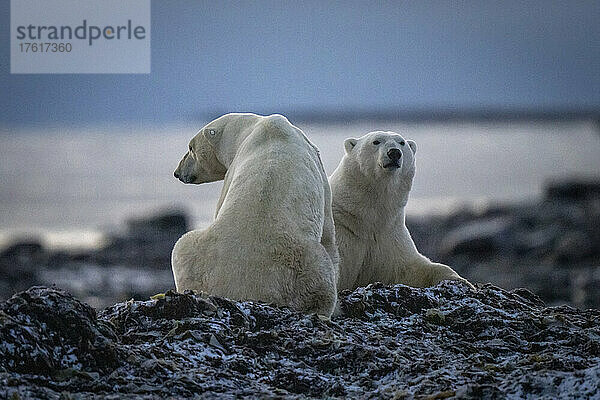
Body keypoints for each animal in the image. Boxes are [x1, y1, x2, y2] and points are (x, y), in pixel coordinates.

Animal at [328, 131, 474, 290]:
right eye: (376, 141)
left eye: (401, 142)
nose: (394, 153)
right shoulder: (342, 233)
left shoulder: (390, 235)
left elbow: (411, 267)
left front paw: (462, 282)